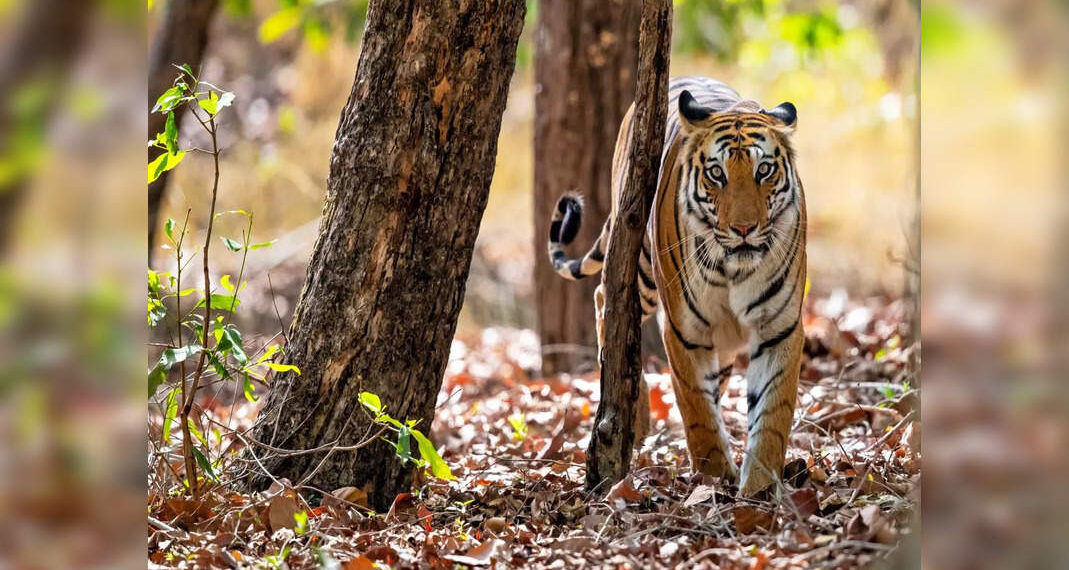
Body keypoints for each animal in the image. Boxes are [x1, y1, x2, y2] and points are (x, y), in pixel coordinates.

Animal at [547, 77, 806, 497]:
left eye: (764, 170)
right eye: (717, 174)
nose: (744, 228)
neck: (735, 270)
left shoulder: (778, 327)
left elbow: (772, 412)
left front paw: (759, 489)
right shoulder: (685, 330)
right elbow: (696, 409)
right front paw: (715, 477)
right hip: (640, 267)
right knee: (606, 301)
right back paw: (633, 422)